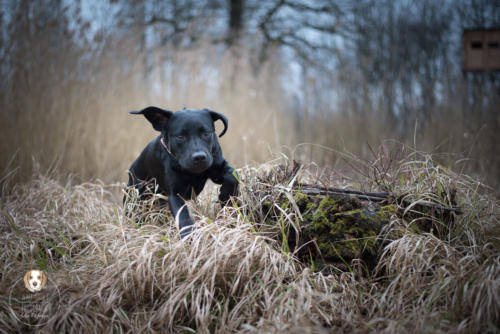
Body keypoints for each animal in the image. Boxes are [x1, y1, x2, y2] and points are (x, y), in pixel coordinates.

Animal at [127, 106, 240, 237]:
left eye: (206, 133)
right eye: (180, 136)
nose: (199, 157)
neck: (192, 172)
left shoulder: (217, 166)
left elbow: (233, 175)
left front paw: (226, 196)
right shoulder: (175, 194)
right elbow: (183, 217)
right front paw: (189, 237)